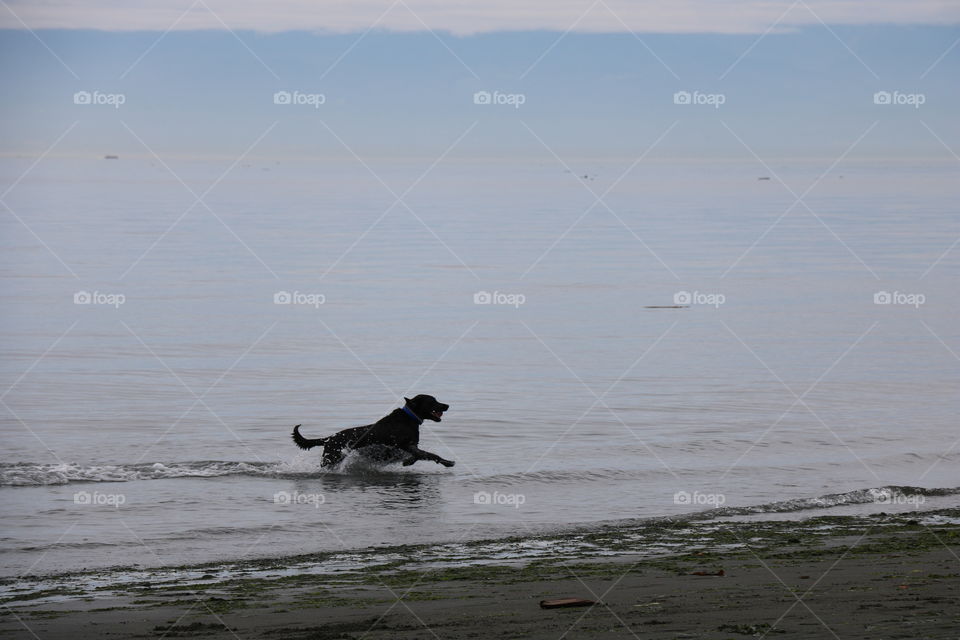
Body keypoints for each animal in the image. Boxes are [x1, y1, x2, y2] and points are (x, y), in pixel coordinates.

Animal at [290, 392, 456, 468]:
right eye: (432, 401)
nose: (447, 405)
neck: (409, 418)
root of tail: (329, 438)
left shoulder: (411, 446)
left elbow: (419, 455)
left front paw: (407, 462)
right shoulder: (405, 445)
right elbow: (430, 454)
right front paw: (447, 462)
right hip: (331, 459)